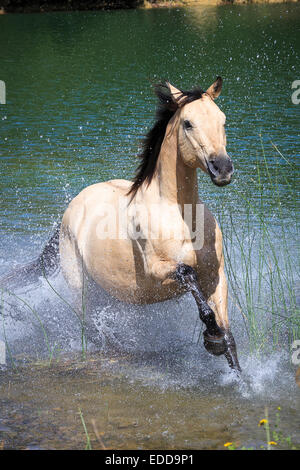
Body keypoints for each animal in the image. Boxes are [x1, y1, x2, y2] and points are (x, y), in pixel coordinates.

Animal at [58, 77, 241, 374]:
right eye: (188, 123)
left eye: (222, 120)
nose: (222, 169)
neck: (181, 216)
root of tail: (75, 204)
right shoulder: (157, 270)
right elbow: (188, 274)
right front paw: (211, 334)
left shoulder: (216, 276)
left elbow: (229, 337)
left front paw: (239, 376)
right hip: (80, 290)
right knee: (91, 328)